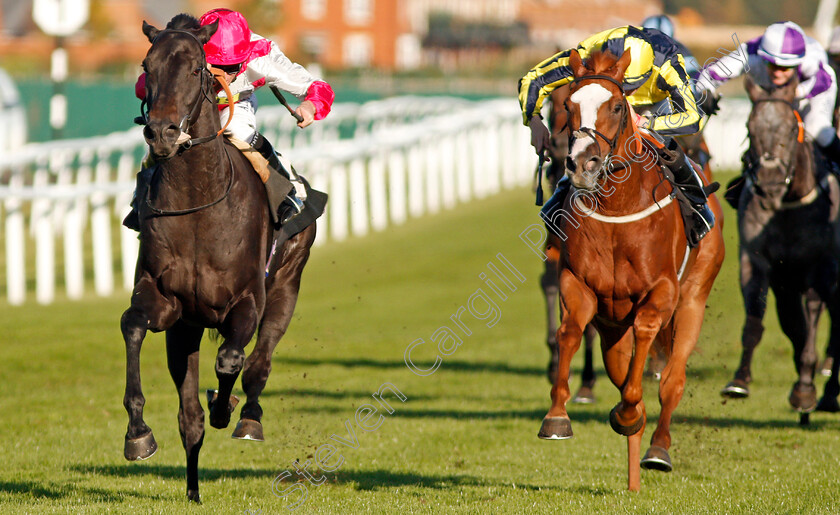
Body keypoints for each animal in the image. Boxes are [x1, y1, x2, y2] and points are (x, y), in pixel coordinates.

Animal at [123, 17, 320, 504]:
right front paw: (138, 434)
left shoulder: (247, 298)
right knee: (188, 419)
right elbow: (133, 325)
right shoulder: (165, 301)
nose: (161, 133)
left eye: (197, 69)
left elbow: (232, 360)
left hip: (286, 285)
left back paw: (246, 416)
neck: (199, 202)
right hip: (186, 329)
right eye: (146, 67)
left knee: (259, 362)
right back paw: (193, 488)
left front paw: (225, 405)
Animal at [540, 49, 724, 492]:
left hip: (694, 297)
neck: (616, 208)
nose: (581, 164)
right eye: (569, 105)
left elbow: (646, 335)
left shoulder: (662, 291)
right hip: (612, 331)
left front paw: (629, 412)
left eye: (617, 106)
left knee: (673, 379)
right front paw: (557, 416)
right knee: (620, 368)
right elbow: (569, 332)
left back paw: (655, 449)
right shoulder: (577, 283)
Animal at [720, 74, 840, 420]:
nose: (770, 183)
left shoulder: (820, 268)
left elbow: (812, 316)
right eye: (750, 128)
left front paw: (806, 388)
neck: (787, 207)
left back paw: (829, 394)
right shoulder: (759, 263)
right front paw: (739, 381)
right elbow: (757, 316)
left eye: (789, 129)